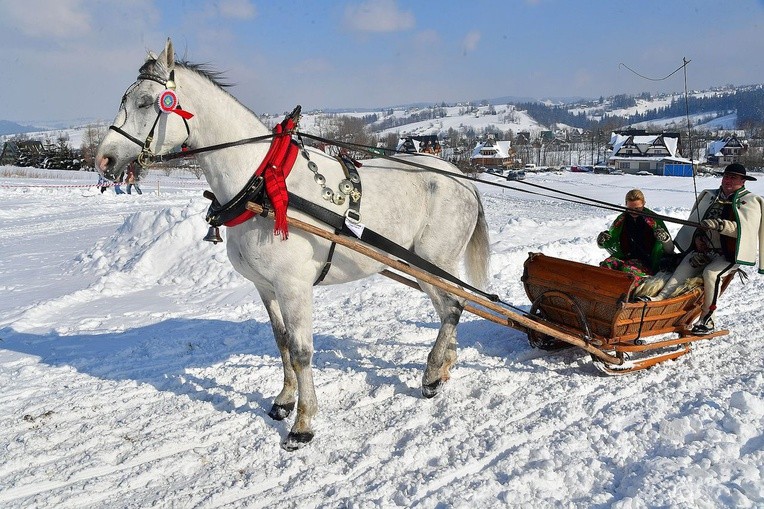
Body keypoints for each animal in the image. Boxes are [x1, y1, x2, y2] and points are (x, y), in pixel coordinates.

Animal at [95, 38, 490, 448]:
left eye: (145, 102)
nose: (103, 159)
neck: (261, 183)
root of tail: (463, 179)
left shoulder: (293, 286)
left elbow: (301, 352)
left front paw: (303, 423)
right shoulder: (265, 286)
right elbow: (282, 341)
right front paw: (284, 401)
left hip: (433, 261)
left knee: (453, 308)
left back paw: (430, 375)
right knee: (452, 308)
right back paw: (443, 368)